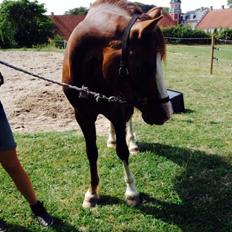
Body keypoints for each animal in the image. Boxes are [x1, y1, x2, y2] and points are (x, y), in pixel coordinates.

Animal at [62, 0, 172, 207]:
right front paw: (92, 192)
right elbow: (91, 152)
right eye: (145, 66)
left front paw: (131, 191)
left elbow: (123, 151)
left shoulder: (119, 110)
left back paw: (132, 142)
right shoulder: (82, 116)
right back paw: (112, 139)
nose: (166, 113)